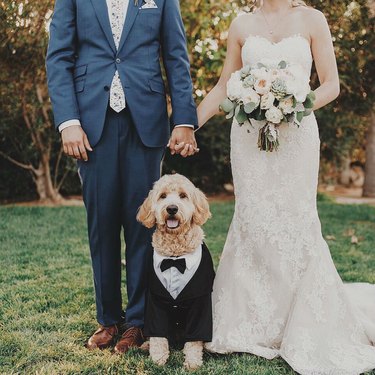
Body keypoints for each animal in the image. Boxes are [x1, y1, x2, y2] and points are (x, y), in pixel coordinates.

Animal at [137, 175, 214, 372]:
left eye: (183, 195)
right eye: (163, 196)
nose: (172, 208)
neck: (175, 257)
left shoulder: (200, 300)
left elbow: (194, 339)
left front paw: (193, 362)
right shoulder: (155, 299)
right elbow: (157, 334)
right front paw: (157, 358)